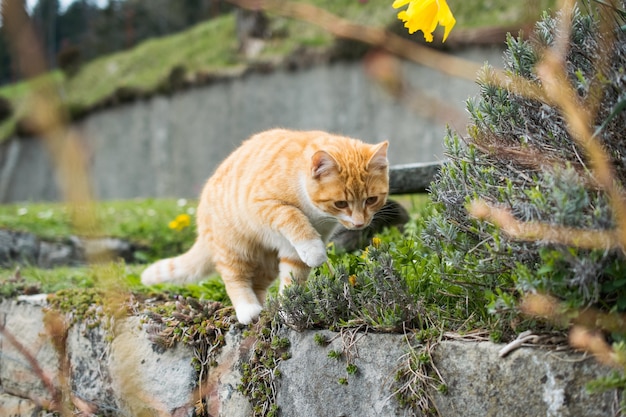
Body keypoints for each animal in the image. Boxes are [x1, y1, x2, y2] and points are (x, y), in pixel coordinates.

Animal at [142, 128, 388, 324]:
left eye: (371, 200)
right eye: (341, 204)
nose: (359, 223)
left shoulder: (293, 252)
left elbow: (292, 280)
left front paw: (291, 311)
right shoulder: (264, 206)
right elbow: (292, 216)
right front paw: (314, 251)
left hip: (266, 262)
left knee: (258, 284)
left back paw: (263, 307)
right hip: (233, 248)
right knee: (235, 279)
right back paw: (248, 310)